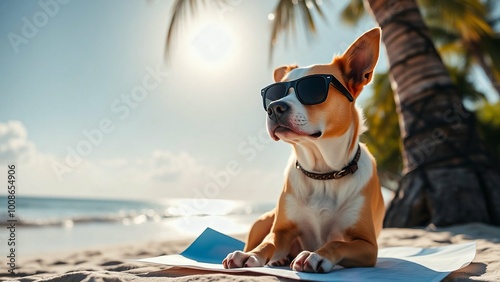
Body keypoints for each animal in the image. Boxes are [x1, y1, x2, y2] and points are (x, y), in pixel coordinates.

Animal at [224, 27, 386, 272]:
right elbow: (267, 244)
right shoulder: (280, 231)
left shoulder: (367, 245)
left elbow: (338, 243)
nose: (274, 107)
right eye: (275, 94)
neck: (323, 173)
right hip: (262, 220)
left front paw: (317, 255)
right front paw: (250, 255)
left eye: (312, 89)